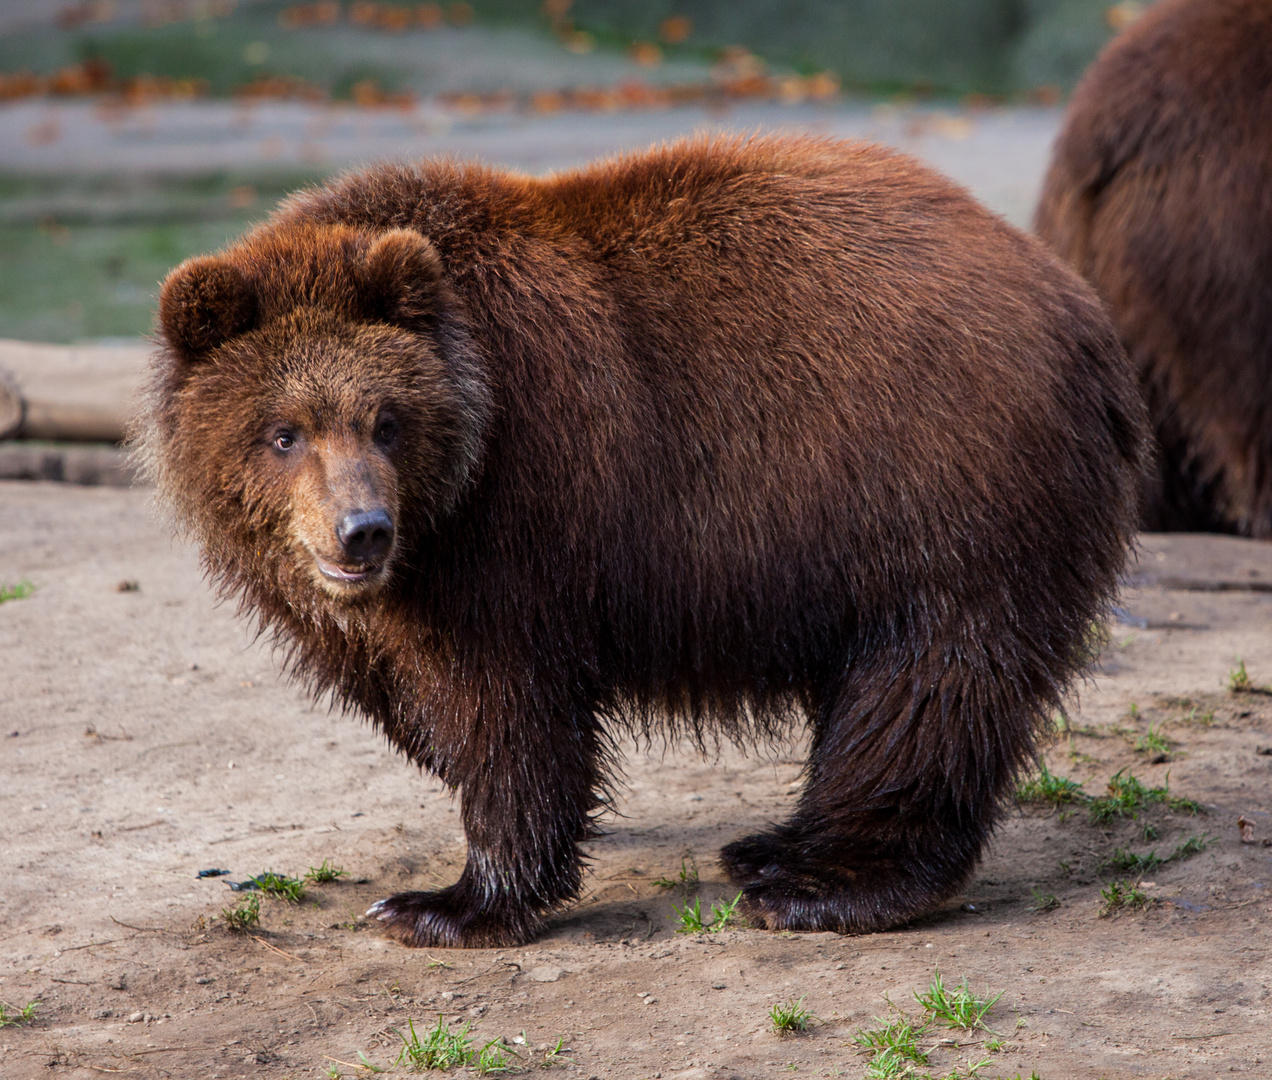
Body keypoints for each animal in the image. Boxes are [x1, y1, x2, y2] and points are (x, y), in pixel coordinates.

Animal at [134, 132, 1149, 946]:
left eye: (386, 420)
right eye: (283, 432)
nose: (361, 532)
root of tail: (1081, 311)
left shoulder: (524, 515)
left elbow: (510, 709)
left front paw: (444, 904)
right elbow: (412, 691)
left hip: (934, 481)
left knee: (928, 680)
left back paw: (824, 885)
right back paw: (775, 846)